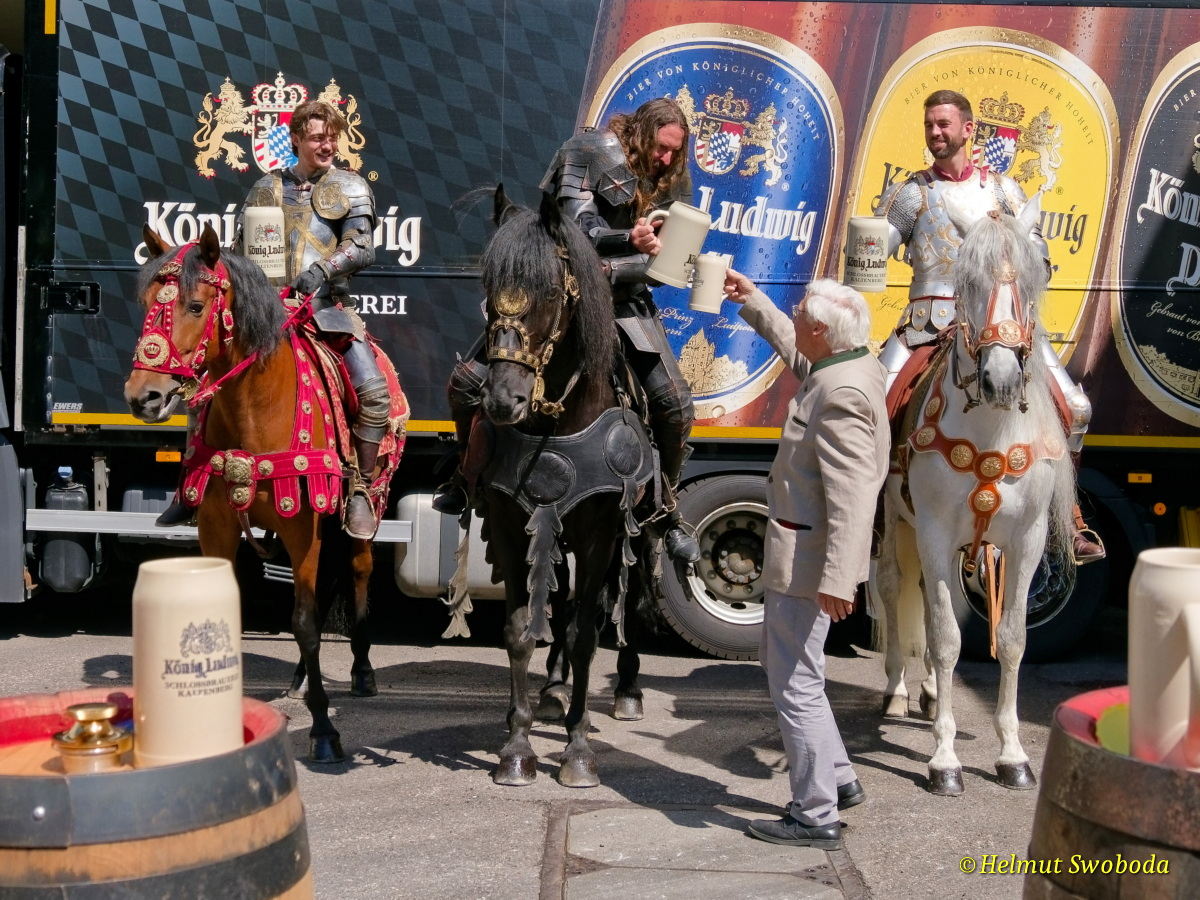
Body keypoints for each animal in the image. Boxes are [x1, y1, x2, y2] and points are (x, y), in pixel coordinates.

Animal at [123, 224, 406, 763]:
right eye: (144, 303)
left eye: (195, 306)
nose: (143, 396)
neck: (254, 409)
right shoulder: (216, 528)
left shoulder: (304, 527)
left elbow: (306, 622)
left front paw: (324, 731)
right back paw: (299, 681)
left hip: (362, 506)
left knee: (357, 570)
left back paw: (361, 671)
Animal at [450, 187, 658, 787]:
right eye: (489, 290)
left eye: (546, 293)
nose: (502, 400)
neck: (558, 423)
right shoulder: (513, 521)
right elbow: (523, 627)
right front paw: (517, 747)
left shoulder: (602, 529)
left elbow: (589, 633)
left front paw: (578, 751)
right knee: (561, 608)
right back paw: (552, 691)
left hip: (642, 529)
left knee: (630, 601)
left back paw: (627, 689)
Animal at [872, 203, 1076, 795]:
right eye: (967, 284)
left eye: (1031, 281)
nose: (1000, 379)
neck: (991, 430)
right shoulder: (936, 533)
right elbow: (945, 641)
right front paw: (944, 761)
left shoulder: (1025, 540)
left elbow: (1010, 639)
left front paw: (1012, 756)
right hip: (895, 520)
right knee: (892, 586)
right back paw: (897, 691)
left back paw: (928, 693)